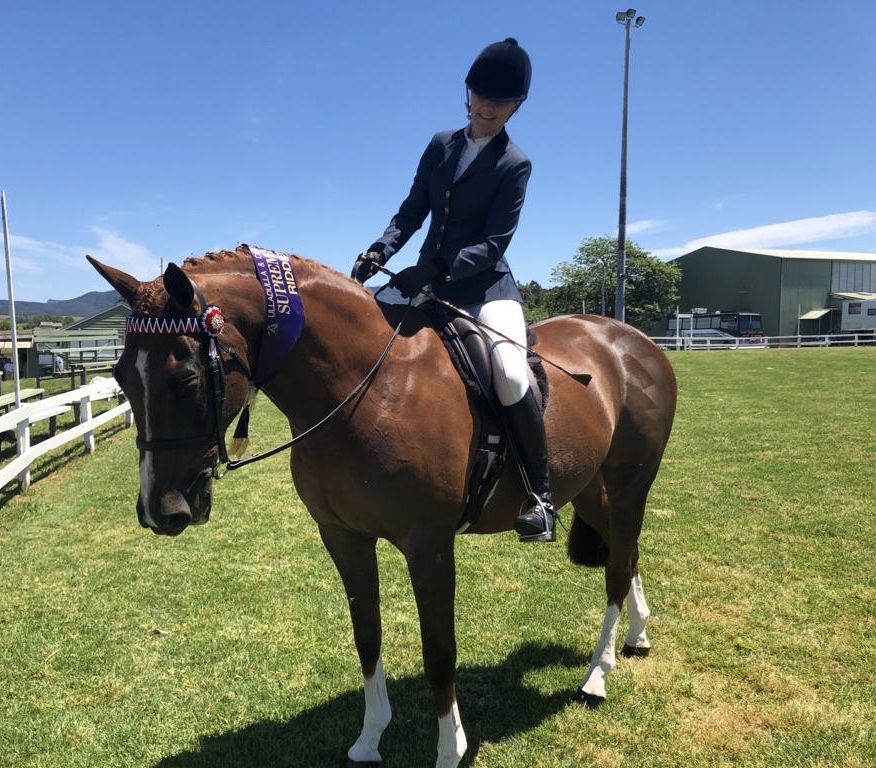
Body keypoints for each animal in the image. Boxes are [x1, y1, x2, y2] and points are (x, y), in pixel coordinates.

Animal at [88, 246, 676, 768]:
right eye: (120, 377)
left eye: (186, 377)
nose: (158, 511)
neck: (366, 389)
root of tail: (632, 339)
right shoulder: (343, 536)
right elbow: (366, 637)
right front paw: (369, 741)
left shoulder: (429, 546)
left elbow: (439, 651)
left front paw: (449, 751)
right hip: (593, 489)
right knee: (628, 554)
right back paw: (637, 636)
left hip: (629, 485)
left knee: (618, 568)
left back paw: (596, 676)